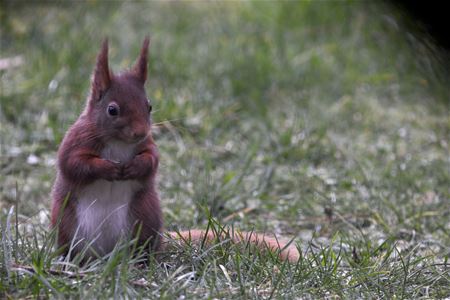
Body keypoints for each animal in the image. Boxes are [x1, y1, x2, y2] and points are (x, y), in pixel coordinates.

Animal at [50, 38, 298, 264]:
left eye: (149, 106)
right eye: (112, 110)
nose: (140, 132)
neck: (119, 142)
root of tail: (105, 256)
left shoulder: (148, 145)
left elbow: (152, 160)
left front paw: (135, 166)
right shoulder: (76, 140)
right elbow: (73, 164)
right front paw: (108, 168)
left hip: (144, 216)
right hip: (67, 221)